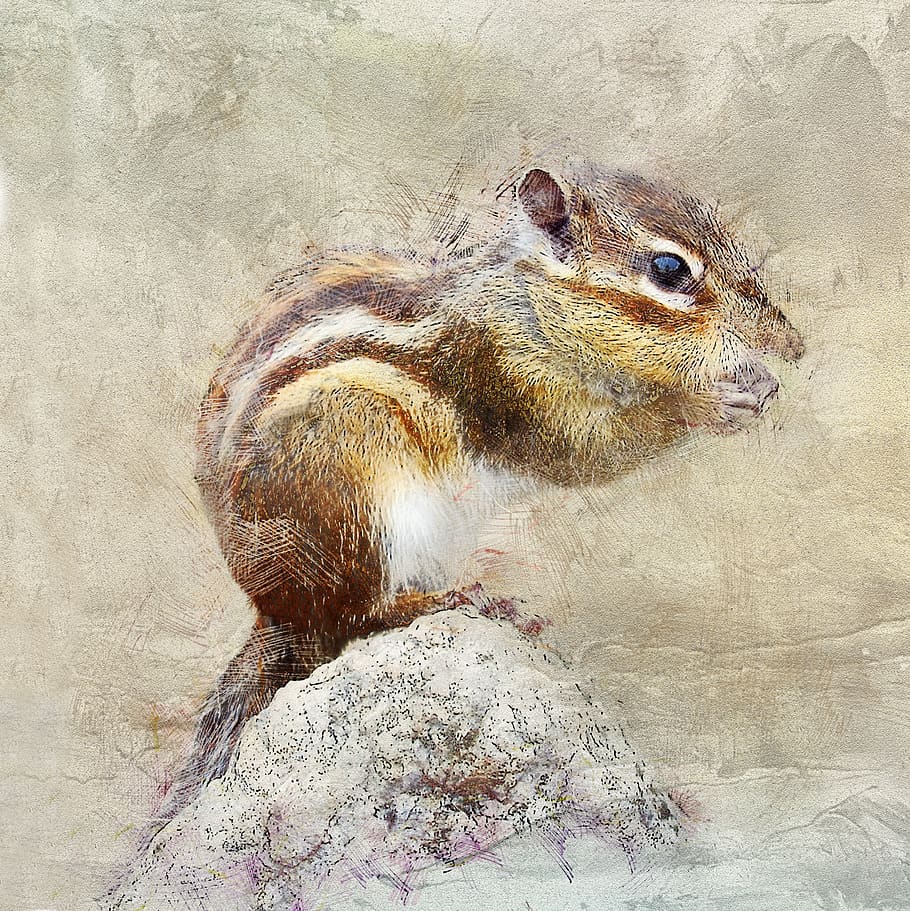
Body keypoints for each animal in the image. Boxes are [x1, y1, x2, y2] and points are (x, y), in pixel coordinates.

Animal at [154, 161, 804, 831]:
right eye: (669, 269)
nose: (793, 344)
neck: (532, 307)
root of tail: (273, 613)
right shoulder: (508, 380)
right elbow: (586, 449)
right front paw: (712, 401)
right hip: (351, 486)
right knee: (356, 616)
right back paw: (456, 600)